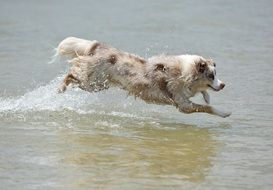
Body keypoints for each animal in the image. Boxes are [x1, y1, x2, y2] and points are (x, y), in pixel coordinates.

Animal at [54, 37, 231, 117]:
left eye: (216, 75)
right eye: (211, 75)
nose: (223, 85)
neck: (185, 73)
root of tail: (98, 46)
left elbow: (205, 96)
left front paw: (207, 96)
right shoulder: (183, 105)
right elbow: (206, 108)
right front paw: (224, 113)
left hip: (99, 84)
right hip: (93, 83)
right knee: (71, 74)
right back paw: (60, 88)